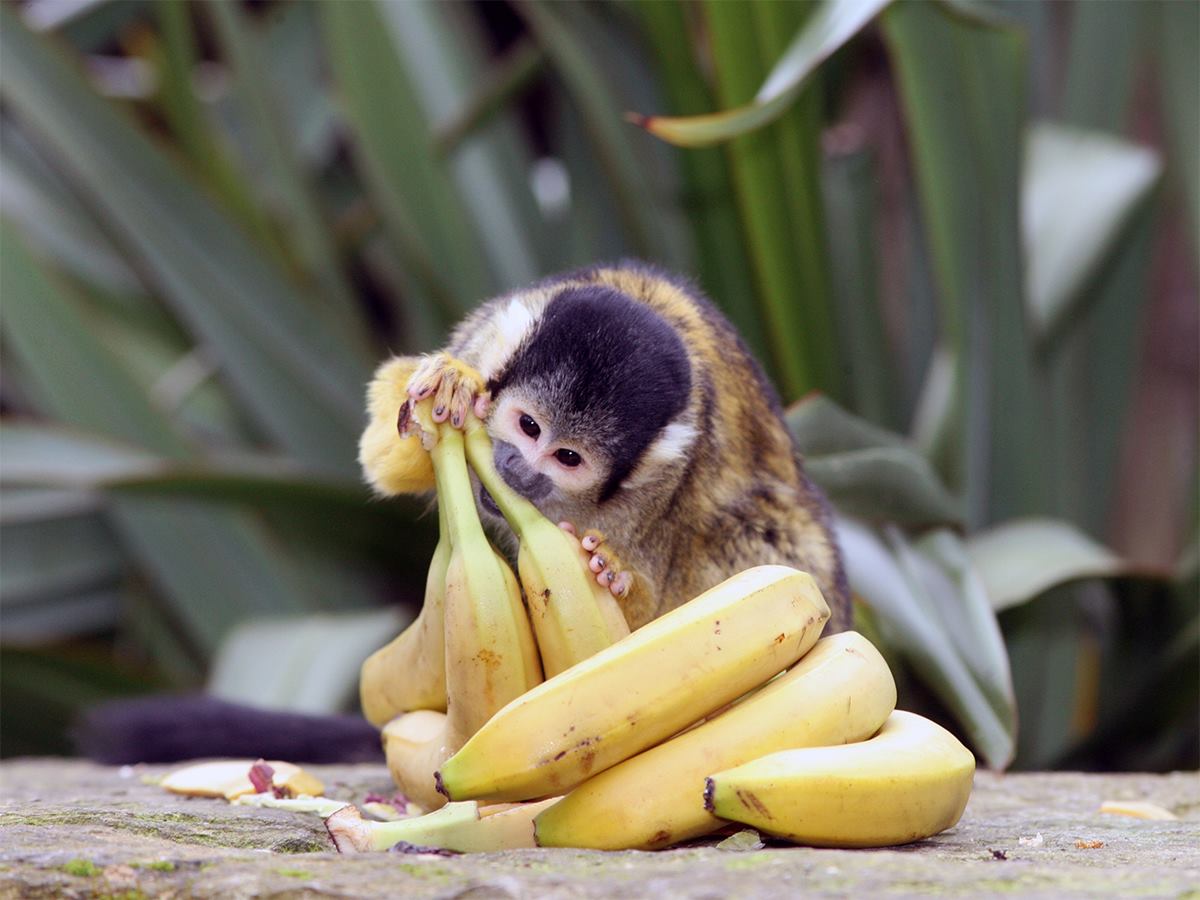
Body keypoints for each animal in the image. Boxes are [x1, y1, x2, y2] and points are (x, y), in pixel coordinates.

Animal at [357, 262, 854, 633]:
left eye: (568, 457)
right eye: (529, 426)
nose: (518, 471)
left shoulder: (660, 492)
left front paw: (614, 574)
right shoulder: (481, 338)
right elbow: (384, 462)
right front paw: (455, 382)